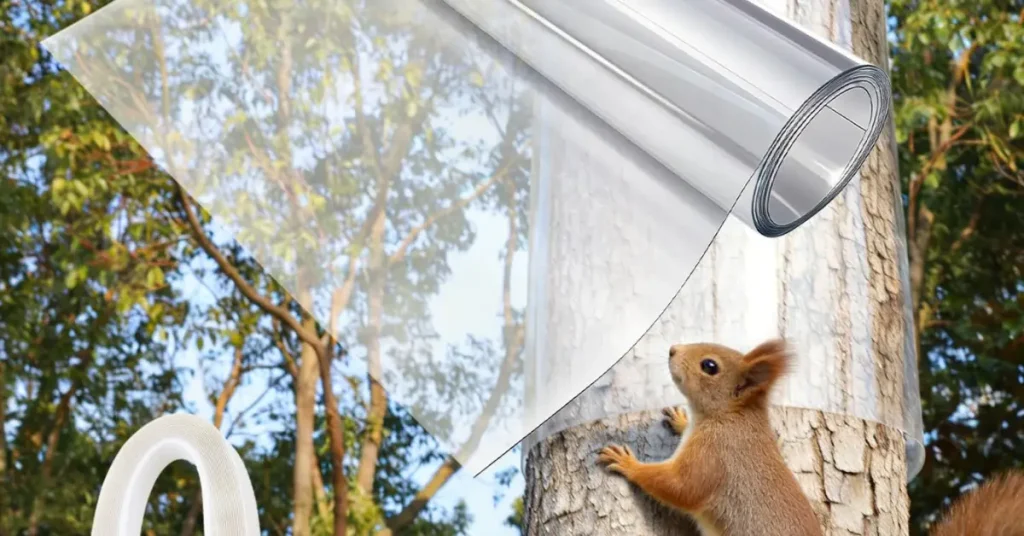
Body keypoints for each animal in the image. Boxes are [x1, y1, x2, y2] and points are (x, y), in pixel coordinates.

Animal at [596, 338, 1024, 536]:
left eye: (710, 366)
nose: (672, 349)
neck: (731, 418)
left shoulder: (716, 457)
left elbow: (680, 487)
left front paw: (628, 464)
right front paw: (681, 418)